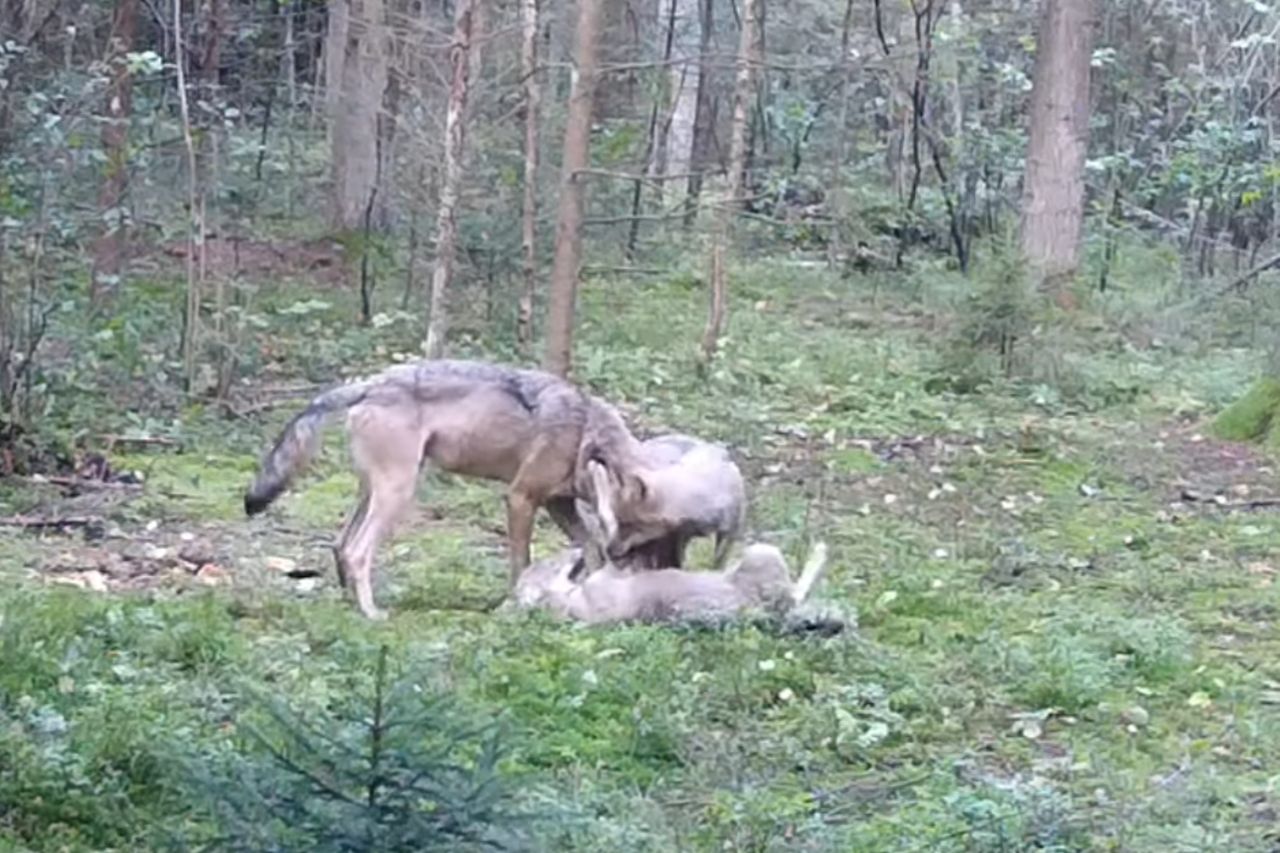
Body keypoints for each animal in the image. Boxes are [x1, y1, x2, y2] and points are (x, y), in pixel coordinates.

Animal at [243, 358, 650, 617]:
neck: (584, 432)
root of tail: (371, 382)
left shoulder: (558, 504)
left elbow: (591, 549)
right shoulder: (520, 499)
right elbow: (522, 563)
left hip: (374, 491)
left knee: (340, 545)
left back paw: (350, 606)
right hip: (398, 493)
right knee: (358, 551)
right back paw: (372, 613)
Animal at [576, 432, 747, 571]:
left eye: (631, 525)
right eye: (619, 522)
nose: (610, 551)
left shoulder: (729, 532)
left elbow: (717, 563)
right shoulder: (682, 534)